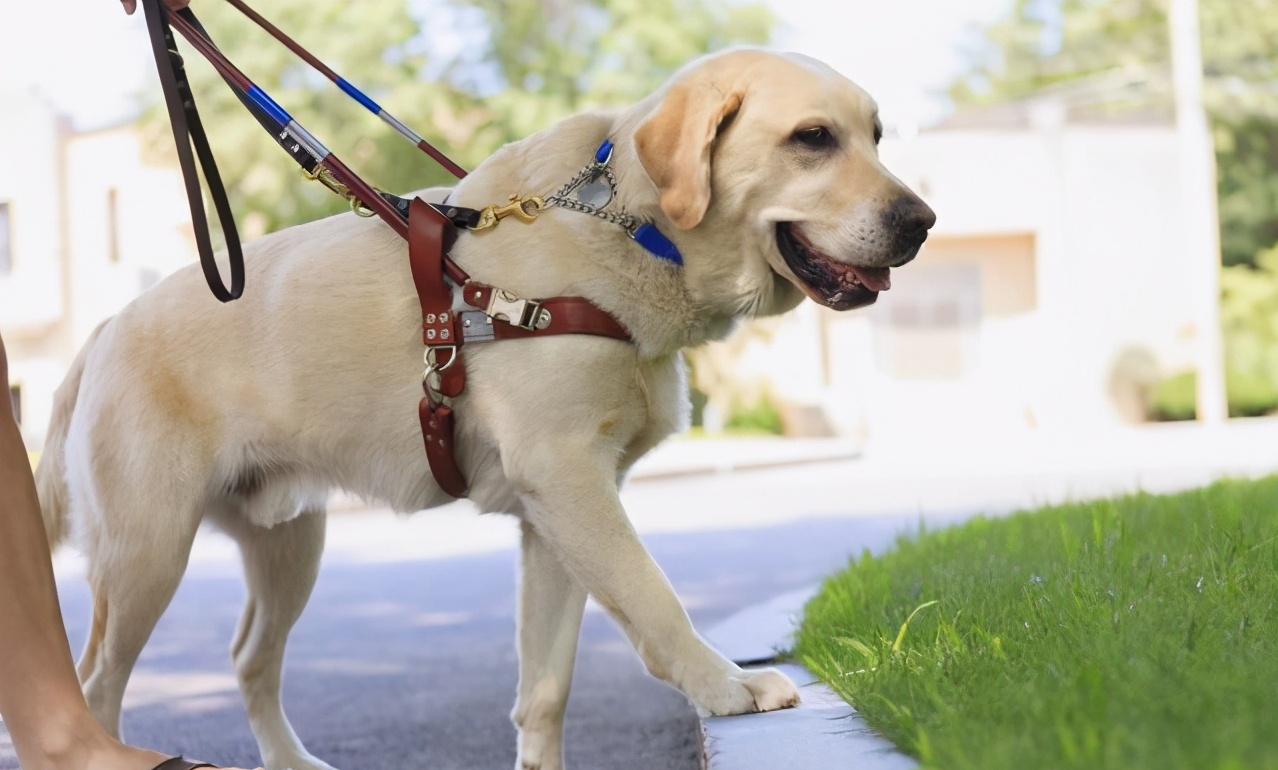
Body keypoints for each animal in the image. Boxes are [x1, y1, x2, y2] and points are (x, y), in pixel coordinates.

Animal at [37, 48, 930, 770]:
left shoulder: (554, 518)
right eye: (812, 138)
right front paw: (726, 688)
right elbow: (655, 597)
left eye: (877, 135)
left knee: (249, 658)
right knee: (94, 684)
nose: (923, 222)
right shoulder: (570, 480)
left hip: (289, 543)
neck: (635, 229)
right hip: (147, 555)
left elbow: (547, 686)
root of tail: (101, 333)